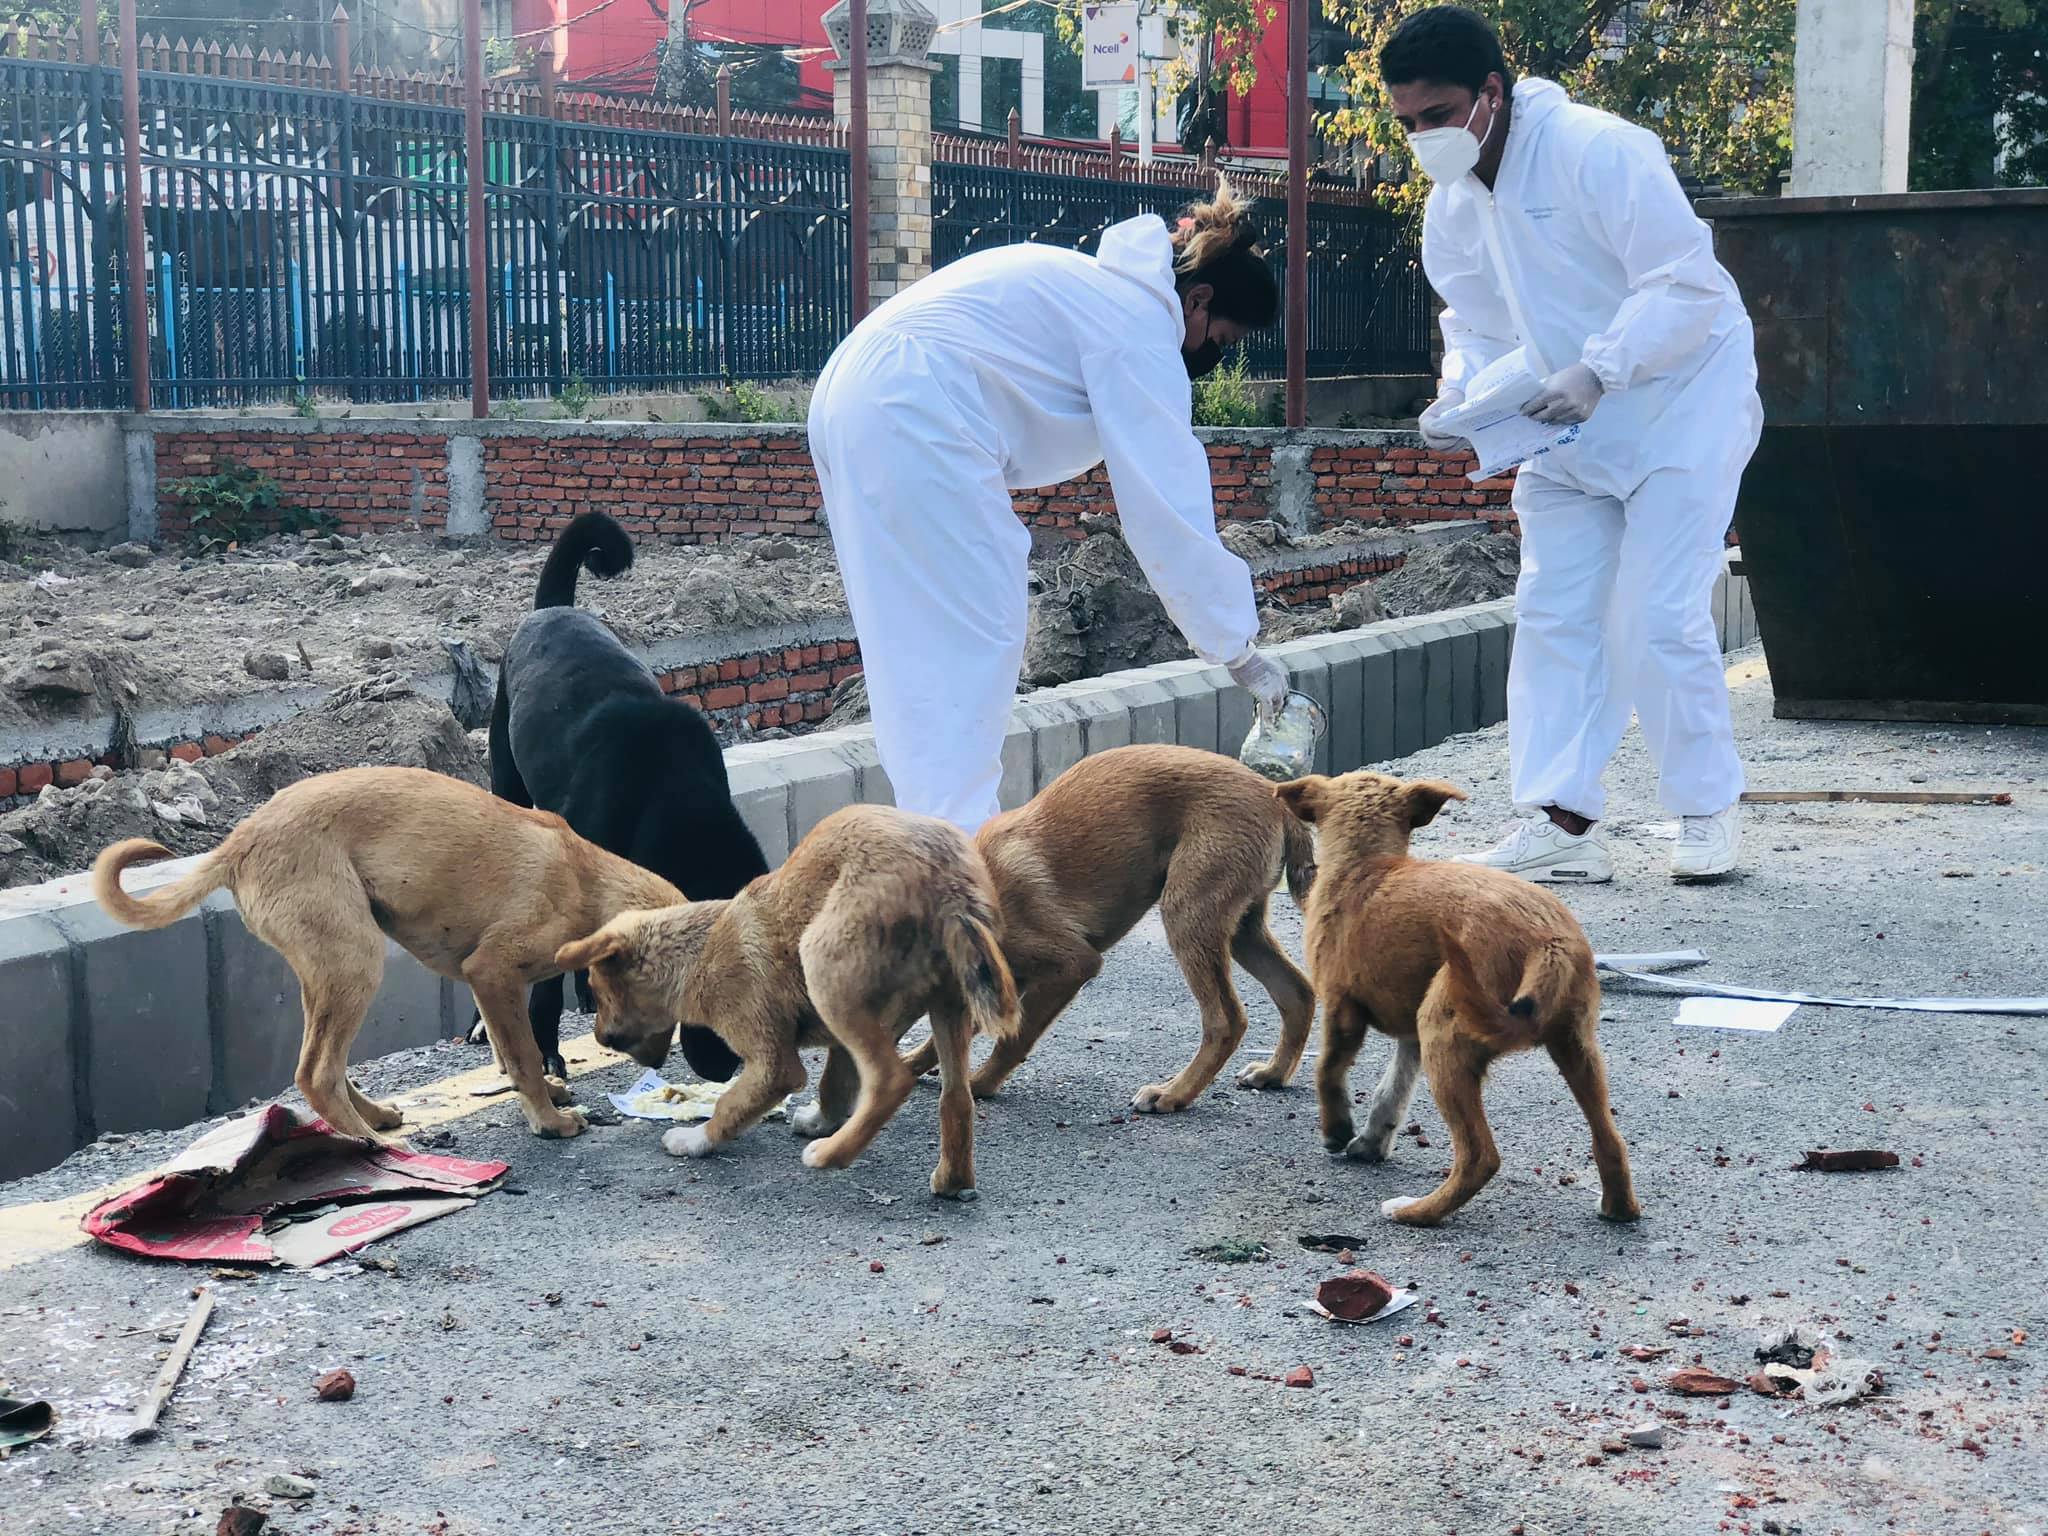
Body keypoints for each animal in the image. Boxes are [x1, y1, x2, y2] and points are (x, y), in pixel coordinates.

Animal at [94, 765, 679, 1146]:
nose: (657, 1066)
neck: (587, 880)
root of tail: (236, 844)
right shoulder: (492, 972)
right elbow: (524, 1054)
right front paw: (549, 1120)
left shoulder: (488, 985)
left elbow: (507, 1051)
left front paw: (544, 1097)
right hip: (355, 963)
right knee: (317, 1073)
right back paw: (376, 1150)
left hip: (329, 970)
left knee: (320, 1065)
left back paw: (372, 1118)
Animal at [477, 518, 761, 1081]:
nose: (723, 1070)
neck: (669, 793)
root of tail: (551, 609)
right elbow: (546, 984)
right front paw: (545, 1048)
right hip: (506, 776)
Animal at [557, 806, 1019, 1204]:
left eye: (595, 989)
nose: (598, 1037)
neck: (700, 950)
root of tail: (949, 884)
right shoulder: (860, 1031)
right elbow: (836, 1080)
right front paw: (822, 1120)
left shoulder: (773, 1061)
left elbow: (732, 1103)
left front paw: (695, 1140)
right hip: (949, 1002)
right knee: (956, 1096)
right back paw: (952, 1180)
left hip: (822, 962)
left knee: (891, 1080)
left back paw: (831, 1155)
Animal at [905, 741, 1318, 1114]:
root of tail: (1274, 797)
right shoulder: (1007, 982)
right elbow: (944, 1039)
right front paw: (913, 1064)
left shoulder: (1073, 964)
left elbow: (1015, 1039)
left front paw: (979, 1084)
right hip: (1242, 927)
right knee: (1297, 992)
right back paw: (1273, 1073)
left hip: (1188, 913)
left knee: (1226, 1020)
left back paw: (1172, 1094)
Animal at [1269, 774, 1638, 1236]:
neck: (1365, 866)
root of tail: (1548, 941)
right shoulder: (1409, 1037)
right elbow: (1391, 1091)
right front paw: (1371, 1142)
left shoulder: (1341, 1007)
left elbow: (1328, 1068)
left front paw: (1336, 1129)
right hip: (1576, 1046)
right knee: (1609, 1138)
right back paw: (1620, 1207)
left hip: (1443, 1031)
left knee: (1480, 1156)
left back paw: (1415, 1212)